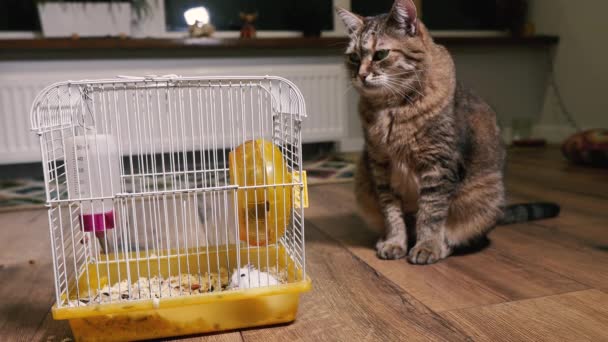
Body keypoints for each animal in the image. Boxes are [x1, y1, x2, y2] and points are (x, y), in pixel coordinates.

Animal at [338, 0, 560, 264]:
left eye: (381, 54)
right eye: (353, 57)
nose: (360, 75)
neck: (391, 108)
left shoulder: (438, 164)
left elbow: (431, 214)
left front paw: (427, 246)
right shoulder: (380, 166)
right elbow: (392, 213)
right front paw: (394, 243)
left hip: (483, 198)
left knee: (464, 237)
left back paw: (442, 246)